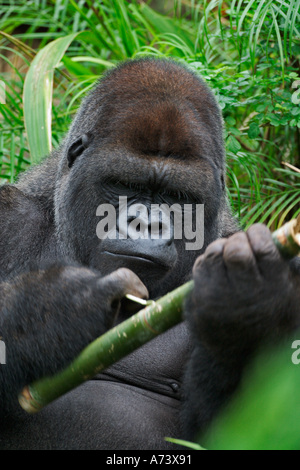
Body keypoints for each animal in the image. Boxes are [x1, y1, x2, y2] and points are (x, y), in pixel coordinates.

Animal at [0, 57, 298, 450]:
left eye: (176, 196)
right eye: (126, 185)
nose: (146, 225)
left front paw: (245, 301)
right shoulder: (9, 216)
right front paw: (45, 313)